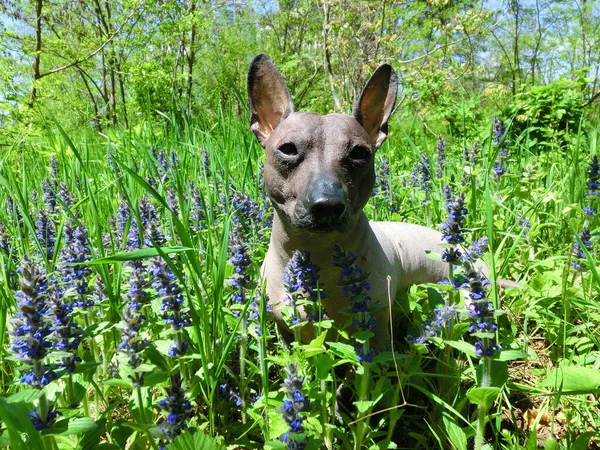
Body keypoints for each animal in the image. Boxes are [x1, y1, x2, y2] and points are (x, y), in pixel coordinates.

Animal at [246, 53, 448, 348]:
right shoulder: (284, 330)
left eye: (359, 153)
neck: (318, 255)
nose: (327, 205)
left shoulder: (376, 330)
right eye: (288, 149)